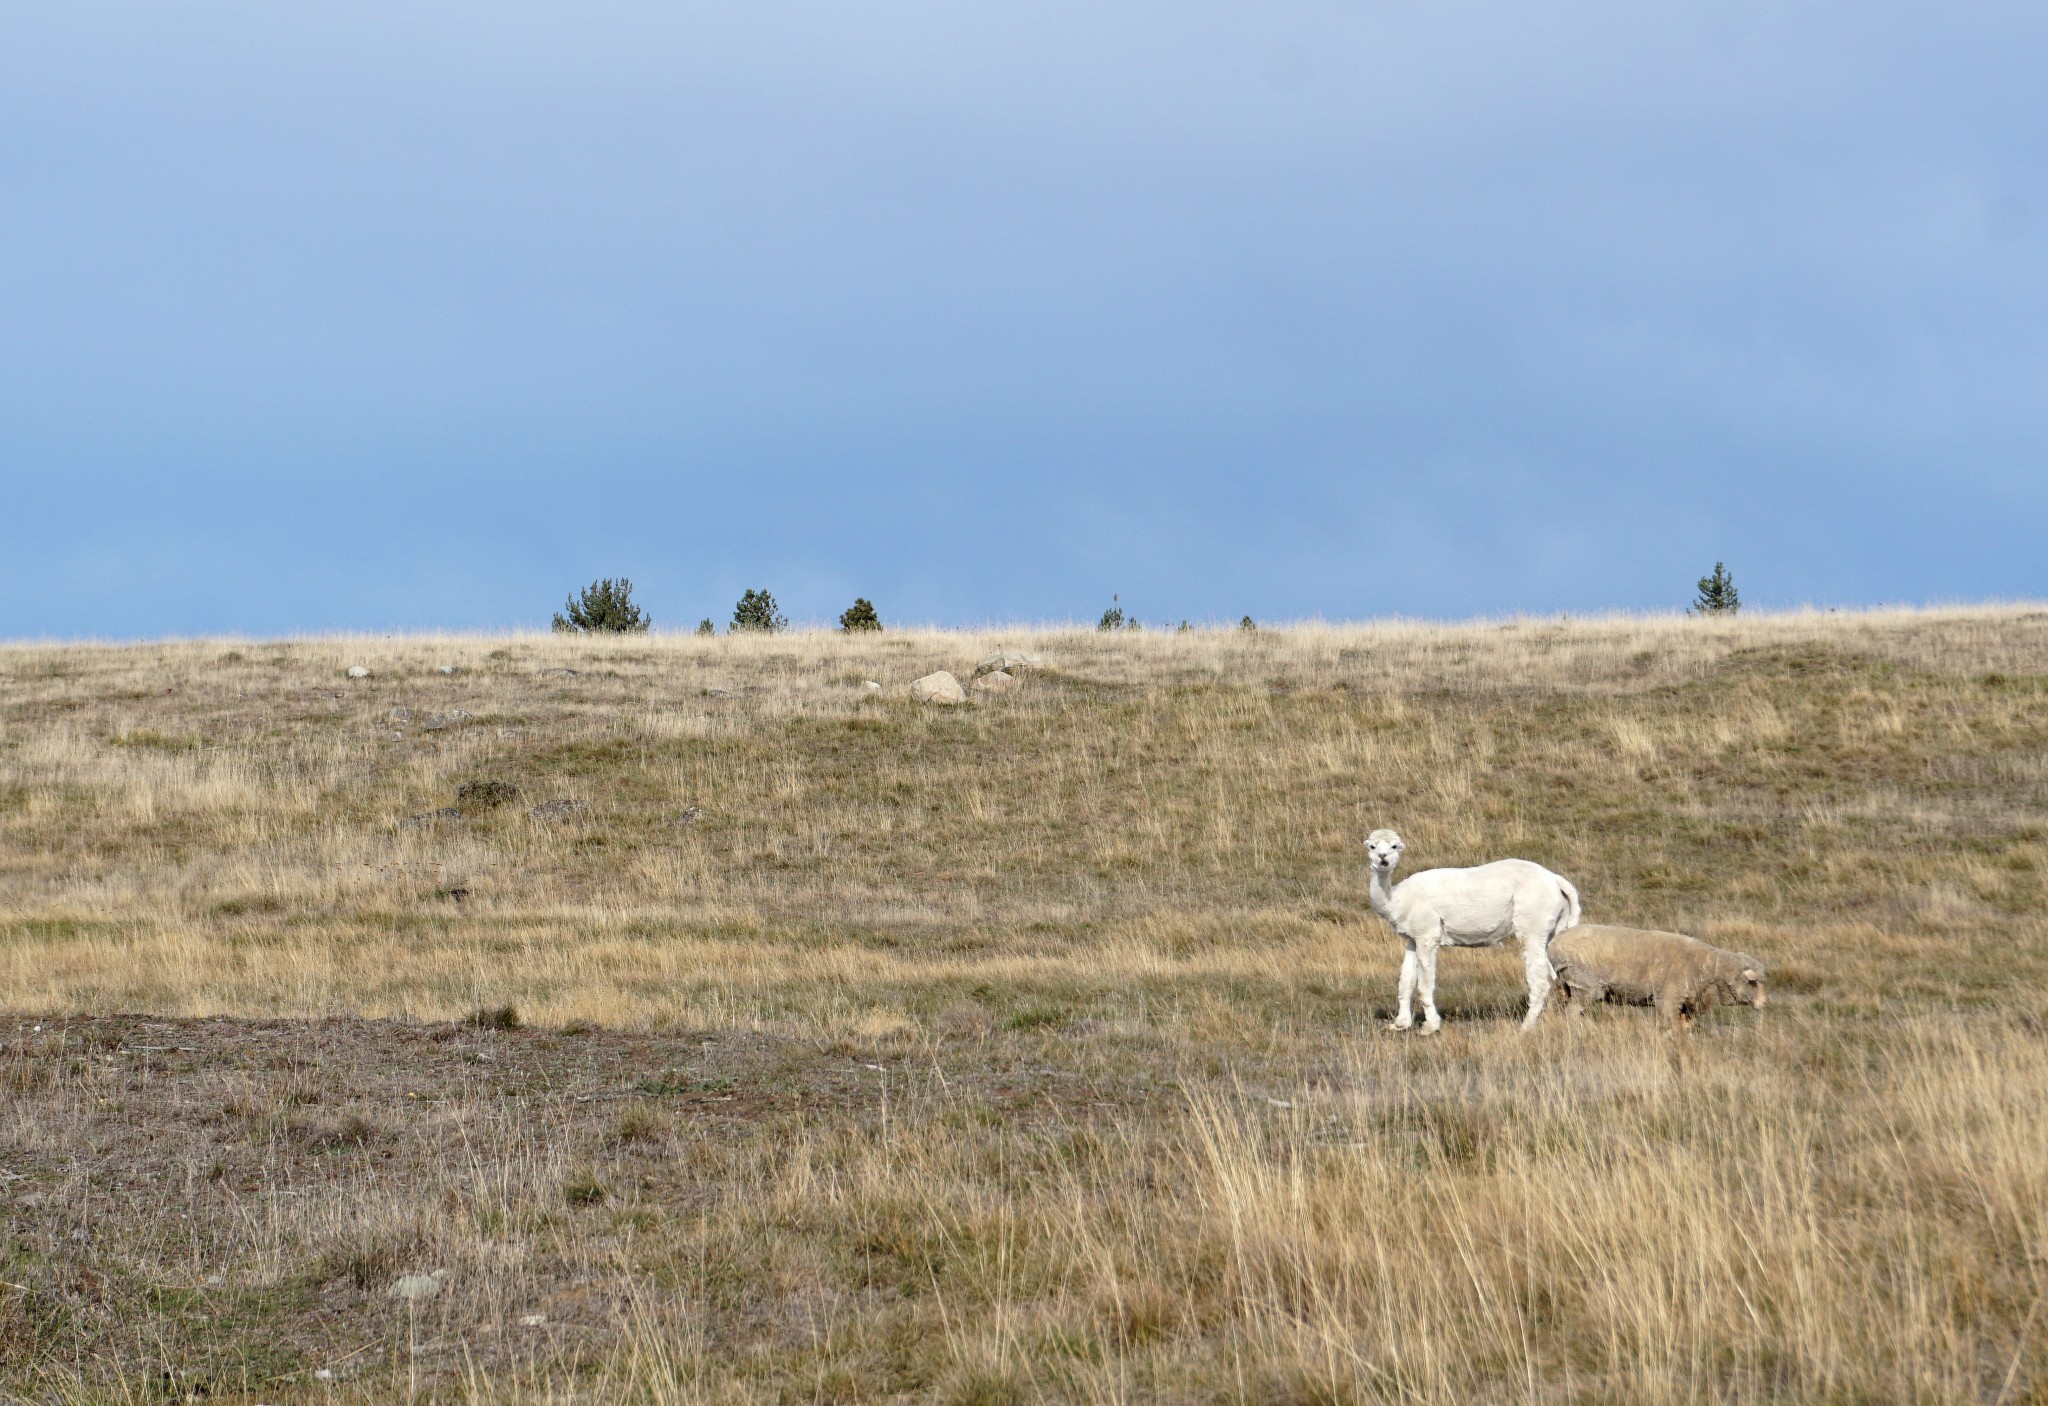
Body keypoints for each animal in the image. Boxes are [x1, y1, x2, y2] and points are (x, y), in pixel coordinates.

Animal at [1548, 925, 1761, 1035]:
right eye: (1752, 982)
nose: (1763, 1003)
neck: (1708, 967)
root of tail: (1555, 944)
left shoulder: (1688, 1002)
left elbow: (1684, 1022)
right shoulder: (1670, 996)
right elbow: (1671, 1021)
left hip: (1564, 985)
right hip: (1586, 985)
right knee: (1573, 1012)